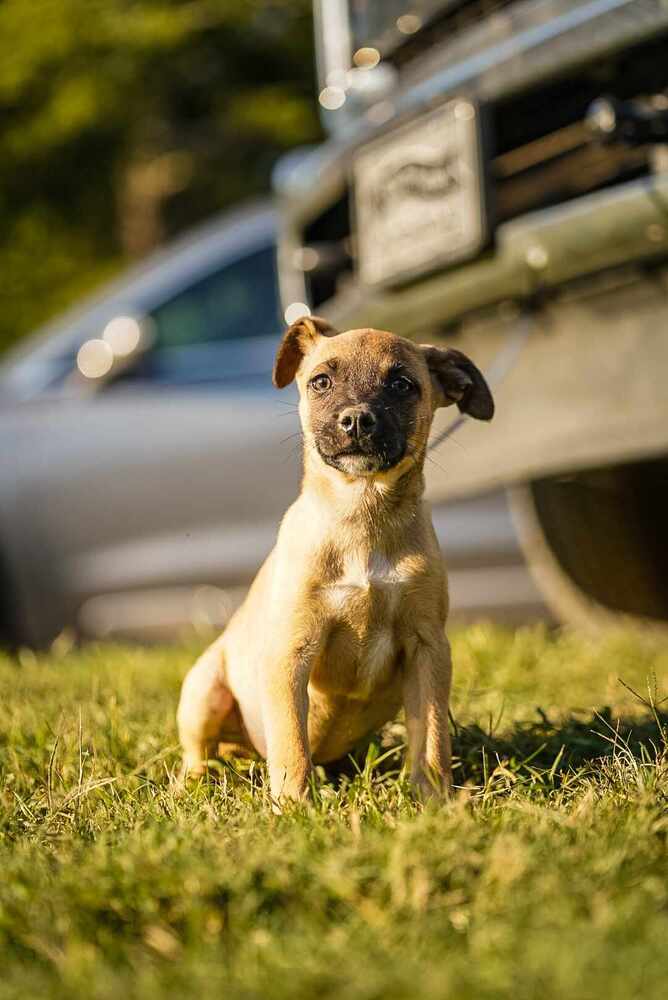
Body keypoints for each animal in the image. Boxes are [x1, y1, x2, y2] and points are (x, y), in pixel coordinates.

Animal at [175, 316, 494, 800]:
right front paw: (293, 804)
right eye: (321, 381)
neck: (361, 513)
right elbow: (292, 744)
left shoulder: (428, 649)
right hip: (204, 688)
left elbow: (433, 737)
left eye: (402, 384)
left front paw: (433, 799)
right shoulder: (291, 651)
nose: (357, 419)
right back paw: (195, 782)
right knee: (199, 749)